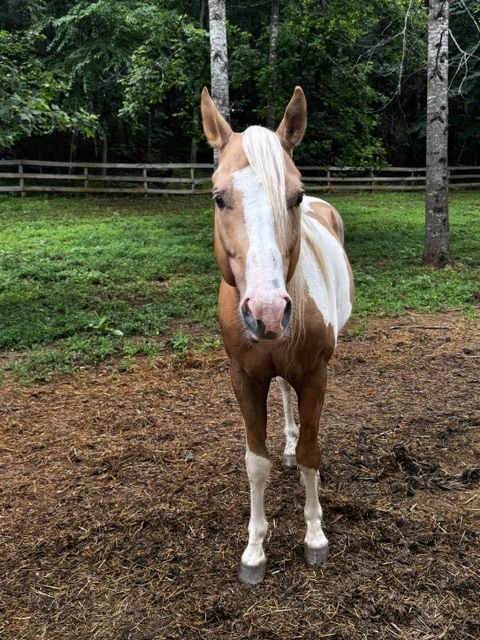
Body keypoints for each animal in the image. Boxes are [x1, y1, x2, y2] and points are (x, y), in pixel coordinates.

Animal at [201, 86, 354, 584]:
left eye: (296, 195)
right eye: (218, 198)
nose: (267, 312)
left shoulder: (316, 376)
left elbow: (311, 453)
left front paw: (315, 536)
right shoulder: (244, 379)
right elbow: (256, 463)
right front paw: (254, 550)